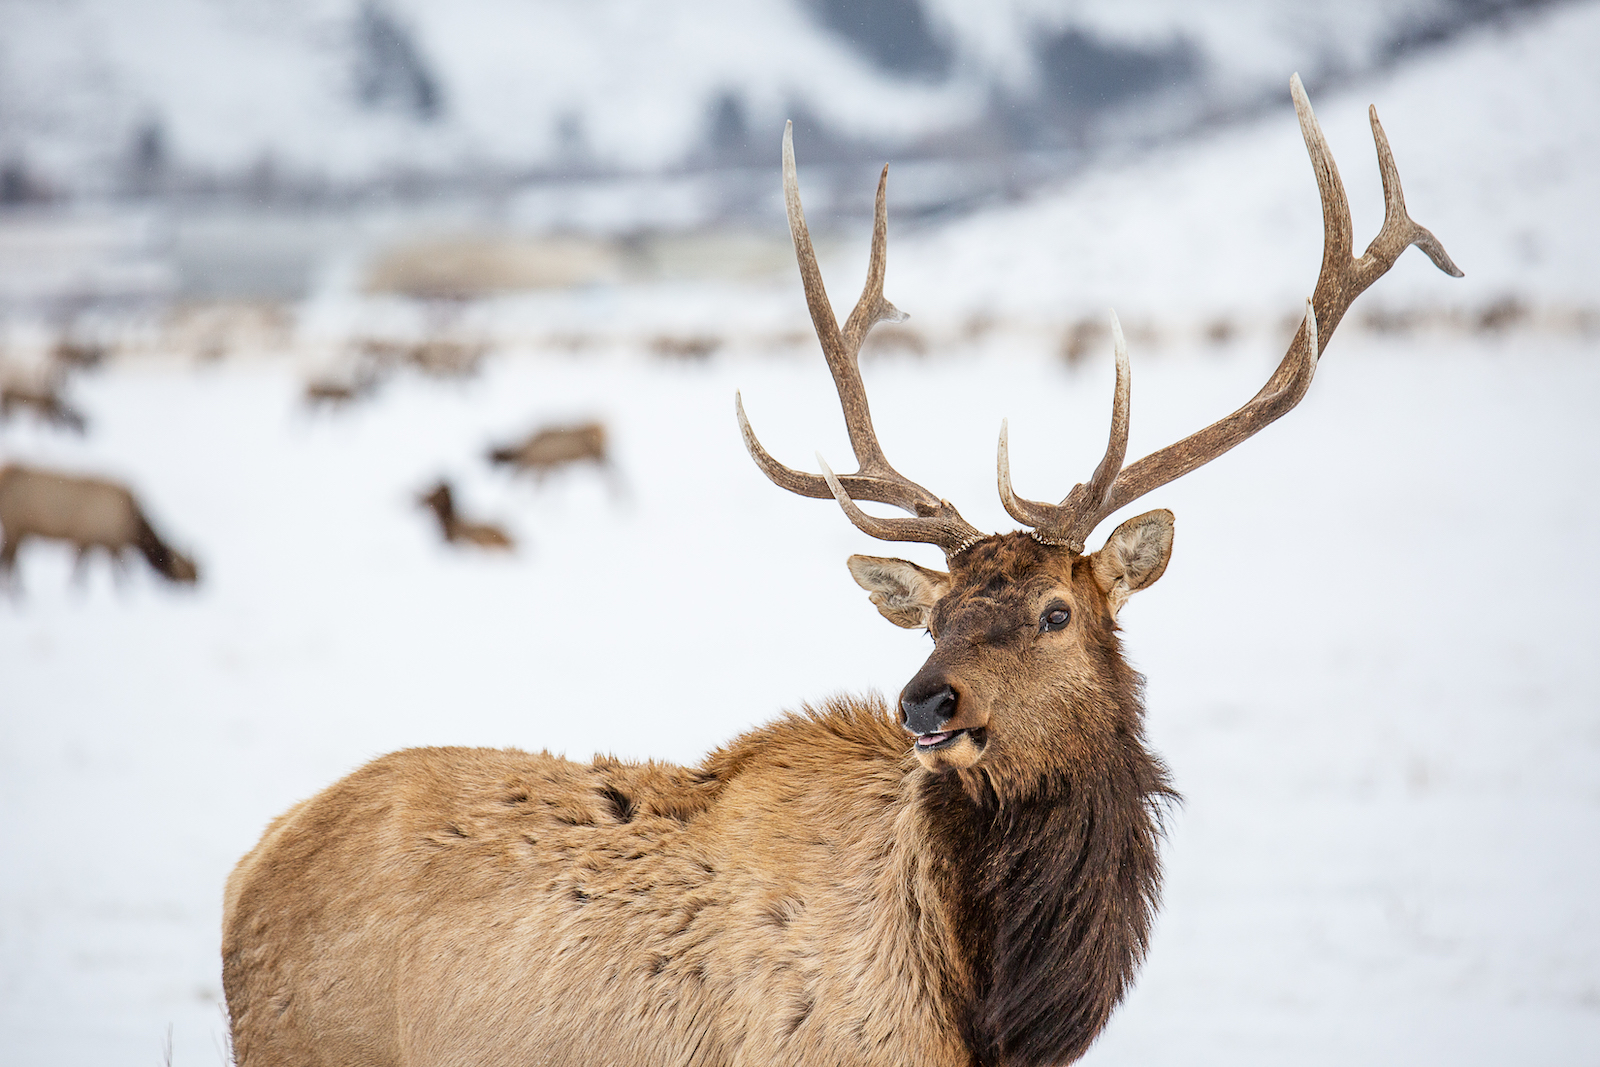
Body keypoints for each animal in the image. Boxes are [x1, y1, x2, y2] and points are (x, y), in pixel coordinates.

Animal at [0, 463, 199, 587]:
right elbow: (120, 576)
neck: (133, 528)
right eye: (187, 573)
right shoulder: (101, 540)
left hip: (18, 531)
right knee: (9, 561)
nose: (199, 582)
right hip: (14, 526)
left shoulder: (98, 543)